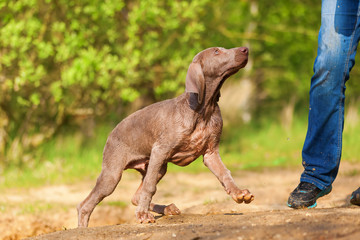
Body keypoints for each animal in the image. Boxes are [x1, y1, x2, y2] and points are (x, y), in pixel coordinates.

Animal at [77, 46, 255, 227]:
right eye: (216, 51)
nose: (245, 49)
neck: (204, 110)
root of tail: (111, 134)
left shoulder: (210, 153)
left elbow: (225, 173)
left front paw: (238, 193)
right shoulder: (159, 151)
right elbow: (150, 187)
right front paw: (142, 215)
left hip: (158, 168)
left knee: (135, 196)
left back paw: (167, 209)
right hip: (113, 174)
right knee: (85, 205)